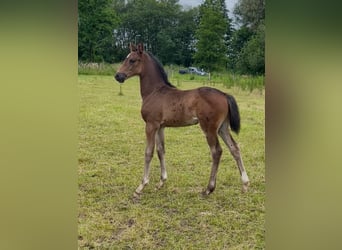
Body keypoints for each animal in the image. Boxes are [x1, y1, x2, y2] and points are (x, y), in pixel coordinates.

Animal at [115, 43, 248, 197]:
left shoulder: (150, 125)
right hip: (222, 128)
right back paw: (245, 184)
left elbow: (149, 152)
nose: (118, 76)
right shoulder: (160, 126)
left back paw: (208, 189)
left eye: (132, 60)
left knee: (217, 152)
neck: (154, 92)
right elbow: (161, 151)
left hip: (209, 128)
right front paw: (161, 182)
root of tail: (224, 94)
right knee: (234, 148)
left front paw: (141, 186)